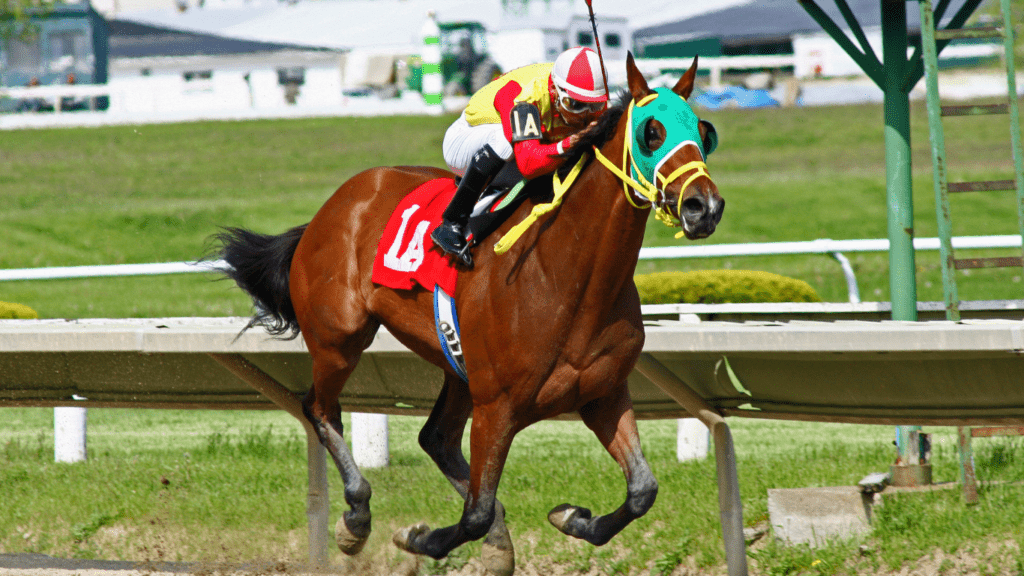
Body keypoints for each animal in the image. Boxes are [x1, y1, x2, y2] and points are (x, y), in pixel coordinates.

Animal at [217, 53, 724, 573]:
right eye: (651, 132)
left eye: (705, 132)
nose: (703, 206)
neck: (568, 277)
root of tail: (333, 206)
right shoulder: (497, 406)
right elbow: (475, 512)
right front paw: (420, 538)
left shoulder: (603, 394)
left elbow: (642, 490)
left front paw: (571, 517)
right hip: (339, 338)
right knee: (320, 409)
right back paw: (356, 517)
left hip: (457, 366)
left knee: (435, 437)